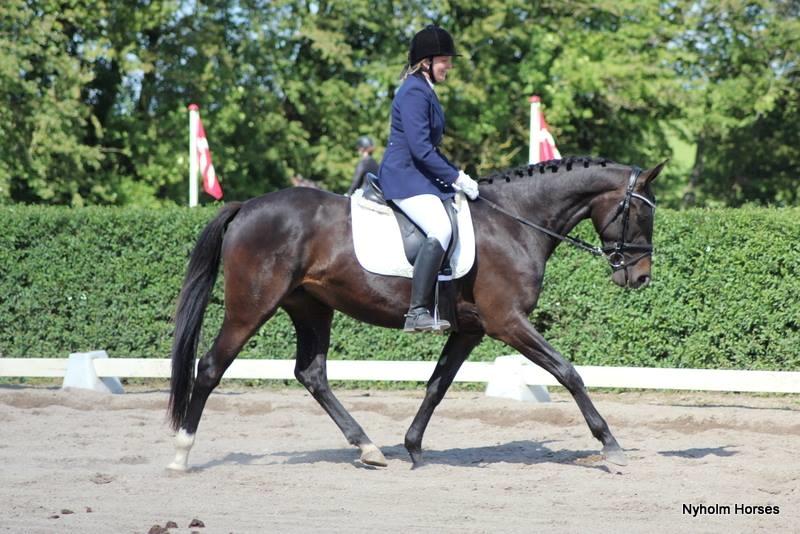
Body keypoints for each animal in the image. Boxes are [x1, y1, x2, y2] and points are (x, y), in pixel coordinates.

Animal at [167, 156, 664, 474]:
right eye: (642, 213)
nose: (640, 277)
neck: (515, 221)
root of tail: (245, 207)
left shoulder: (470, 330)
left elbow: (437, 386)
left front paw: (413, 447)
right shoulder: (507, 322)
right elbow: (568, 372)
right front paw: (611, 445)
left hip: (311, 308)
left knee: (311, 373)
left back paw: (369, 448)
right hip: (252, 306)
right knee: (209, 367)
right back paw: (181, 454)